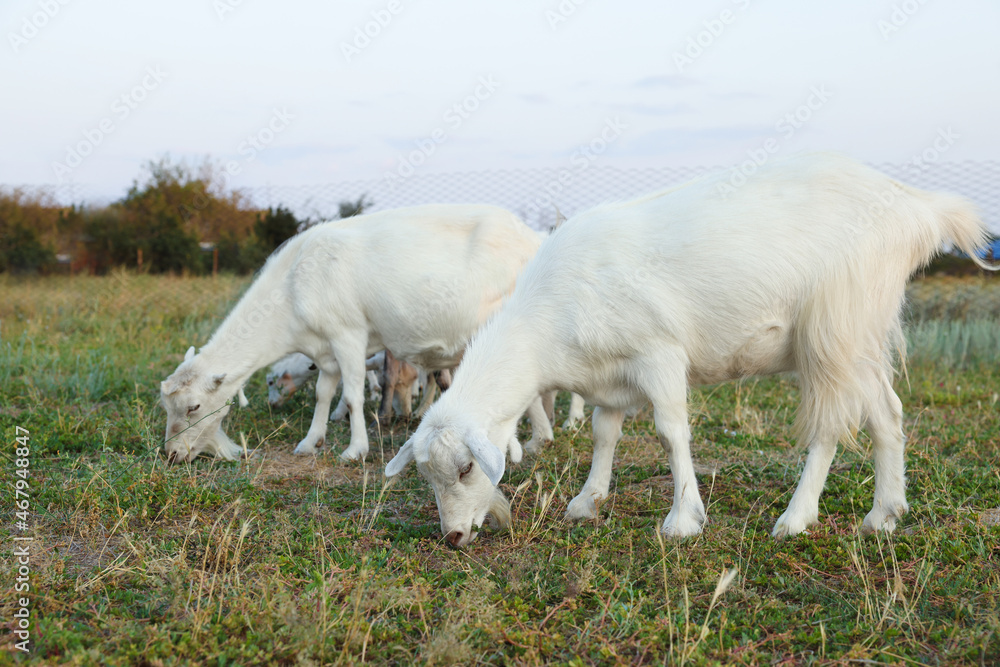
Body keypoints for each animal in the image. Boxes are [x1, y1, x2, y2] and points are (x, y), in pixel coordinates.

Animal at [161, 204, 548, 463]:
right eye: (167, 407)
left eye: (194, 406)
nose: (171, 453)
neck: (292, 288)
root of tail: (535, 238)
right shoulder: (325, 350)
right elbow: (323, 394)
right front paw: (310, 442)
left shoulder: (348, 334)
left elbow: (352, 396)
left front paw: (355, 449)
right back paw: (537, 439)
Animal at [385, 152, 997, 547]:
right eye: (428, 476)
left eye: (468, 467)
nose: (453, 537)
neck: (546, 324)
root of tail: (917, 210)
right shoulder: (611, 374)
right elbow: (604, 434)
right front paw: (588, 501)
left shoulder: (659, 354)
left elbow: (670, 433)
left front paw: (684, 518)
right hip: (862, 333)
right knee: (887, 413)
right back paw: (885, 514)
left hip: (832, 329)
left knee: (829, 426)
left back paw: (797, 518)